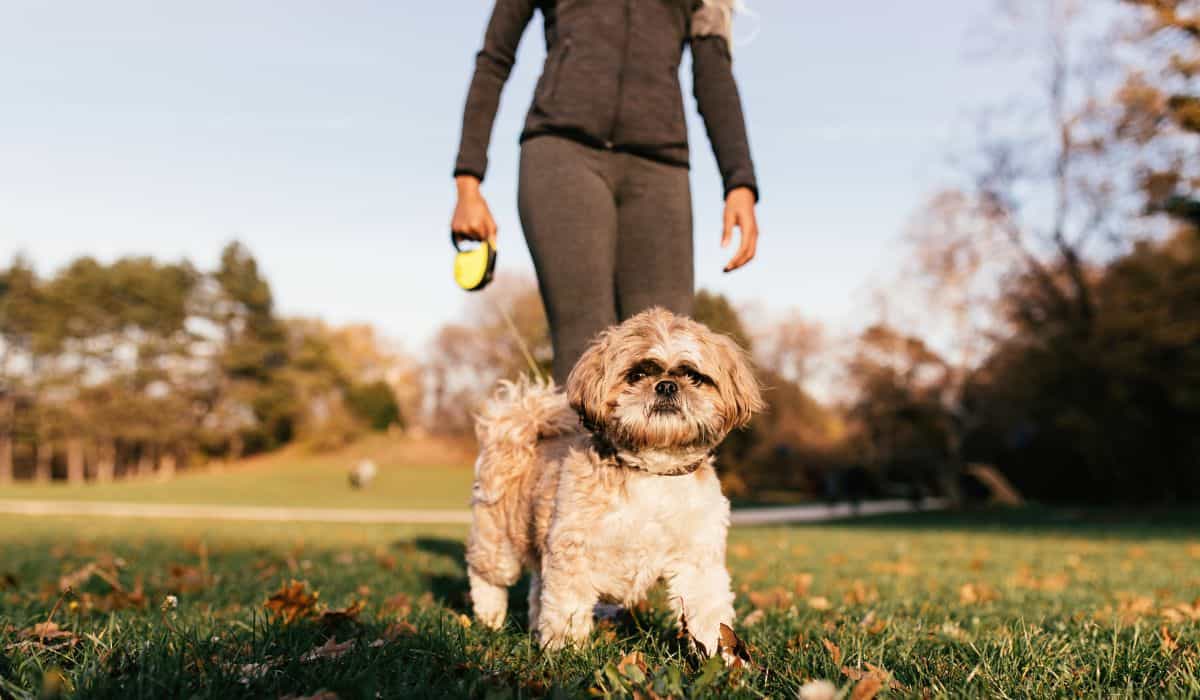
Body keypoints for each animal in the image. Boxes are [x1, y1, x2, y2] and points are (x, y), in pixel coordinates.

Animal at [463, 307, 763, 657]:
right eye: (636, 375)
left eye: (693, 376)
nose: (666, 386)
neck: (653, 472)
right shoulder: (573, 552)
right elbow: (567, 608)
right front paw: (567, 652)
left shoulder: (697, 559)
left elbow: (709, 612)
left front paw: (721, 657)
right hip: (500, 545)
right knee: (486, 576)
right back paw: (490, 618)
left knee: (537, 587)